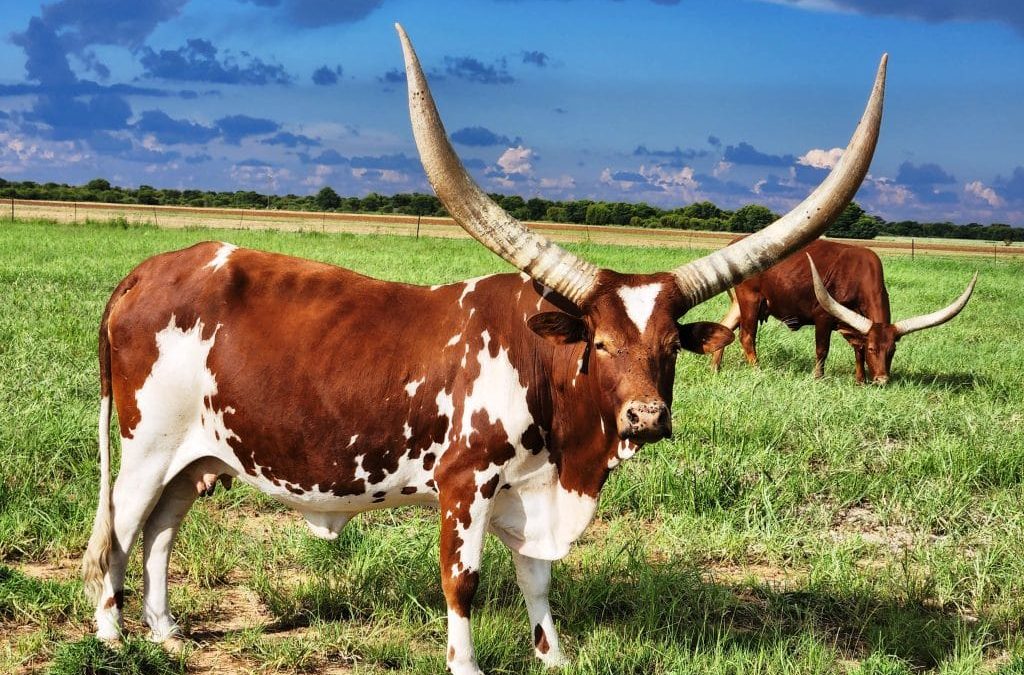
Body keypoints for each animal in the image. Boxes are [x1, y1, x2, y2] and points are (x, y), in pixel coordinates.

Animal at [81, 24, 887, 675]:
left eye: (670, 346)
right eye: (600, 341)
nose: (646, 417)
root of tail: (145, 273)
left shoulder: (530, 489)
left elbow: (536, 577)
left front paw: (554, 655)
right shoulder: (463, 483)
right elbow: (461, 580)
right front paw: (466, 664)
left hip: (195, 457)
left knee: (161, 530)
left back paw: (165, 630)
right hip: (146, 446)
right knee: (120, 528)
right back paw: (111, 634)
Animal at [709, 238, 977, 383]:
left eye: (892, 350)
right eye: (873, 349)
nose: (882, 380)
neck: (859, 276)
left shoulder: (856, 325)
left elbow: (856, 350)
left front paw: (860, 380)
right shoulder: (823, 317)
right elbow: (822, 350)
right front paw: (818, 378)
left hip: (742, 304)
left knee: (726, 326)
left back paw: (715, 369)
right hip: (751, 301)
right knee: (747, 336)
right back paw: (758, 371)